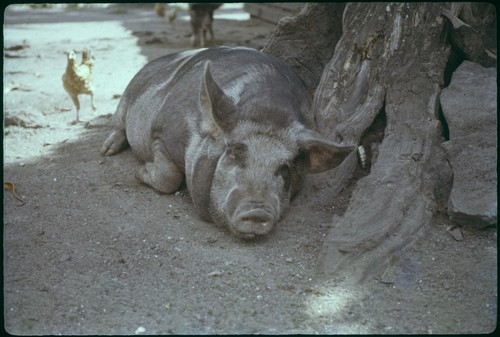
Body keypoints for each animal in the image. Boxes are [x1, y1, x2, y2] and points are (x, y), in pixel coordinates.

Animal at [99, 46, 354, 238]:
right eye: (234, 153)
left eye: (284, 168)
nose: (257, 211)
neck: (269, 111)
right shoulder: (162, 131)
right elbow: (168, 178)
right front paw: (139, 172)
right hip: (129, 94)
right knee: (118, 122)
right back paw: (106, 151)